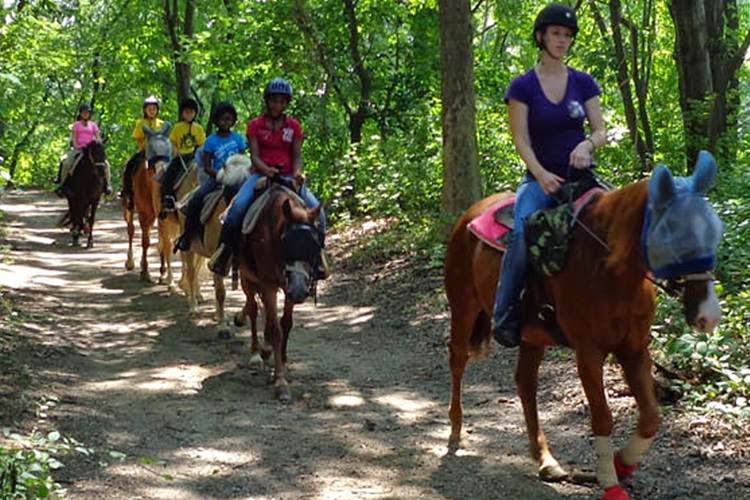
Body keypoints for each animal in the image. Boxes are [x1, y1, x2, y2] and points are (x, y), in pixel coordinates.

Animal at [235, 184, 324, 402]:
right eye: (286, 243)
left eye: (316, 245)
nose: (300, 291)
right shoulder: (268, 284)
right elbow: (276, 330)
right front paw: (280, 382)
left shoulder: (287, 286)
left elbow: (286, 324)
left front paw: (281, 360)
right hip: (247, 278)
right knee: (253, 309)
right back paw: (256, 353)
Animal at [444, 154, 724, 498]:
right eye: (673, 234)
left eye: (715, 231)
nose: (709, 315)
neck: (610, 266)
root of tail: (468, 214)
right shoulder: (589, 352)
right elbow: (602, 418)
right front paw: (610, 482)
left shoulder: (634, 349)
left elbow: (651, 418)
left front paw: (622, 464)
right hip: (463, 309)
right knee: (458, 360)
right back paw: (456, 430)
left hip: (533, 335)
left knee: (526, 383)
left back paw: (545, 459)